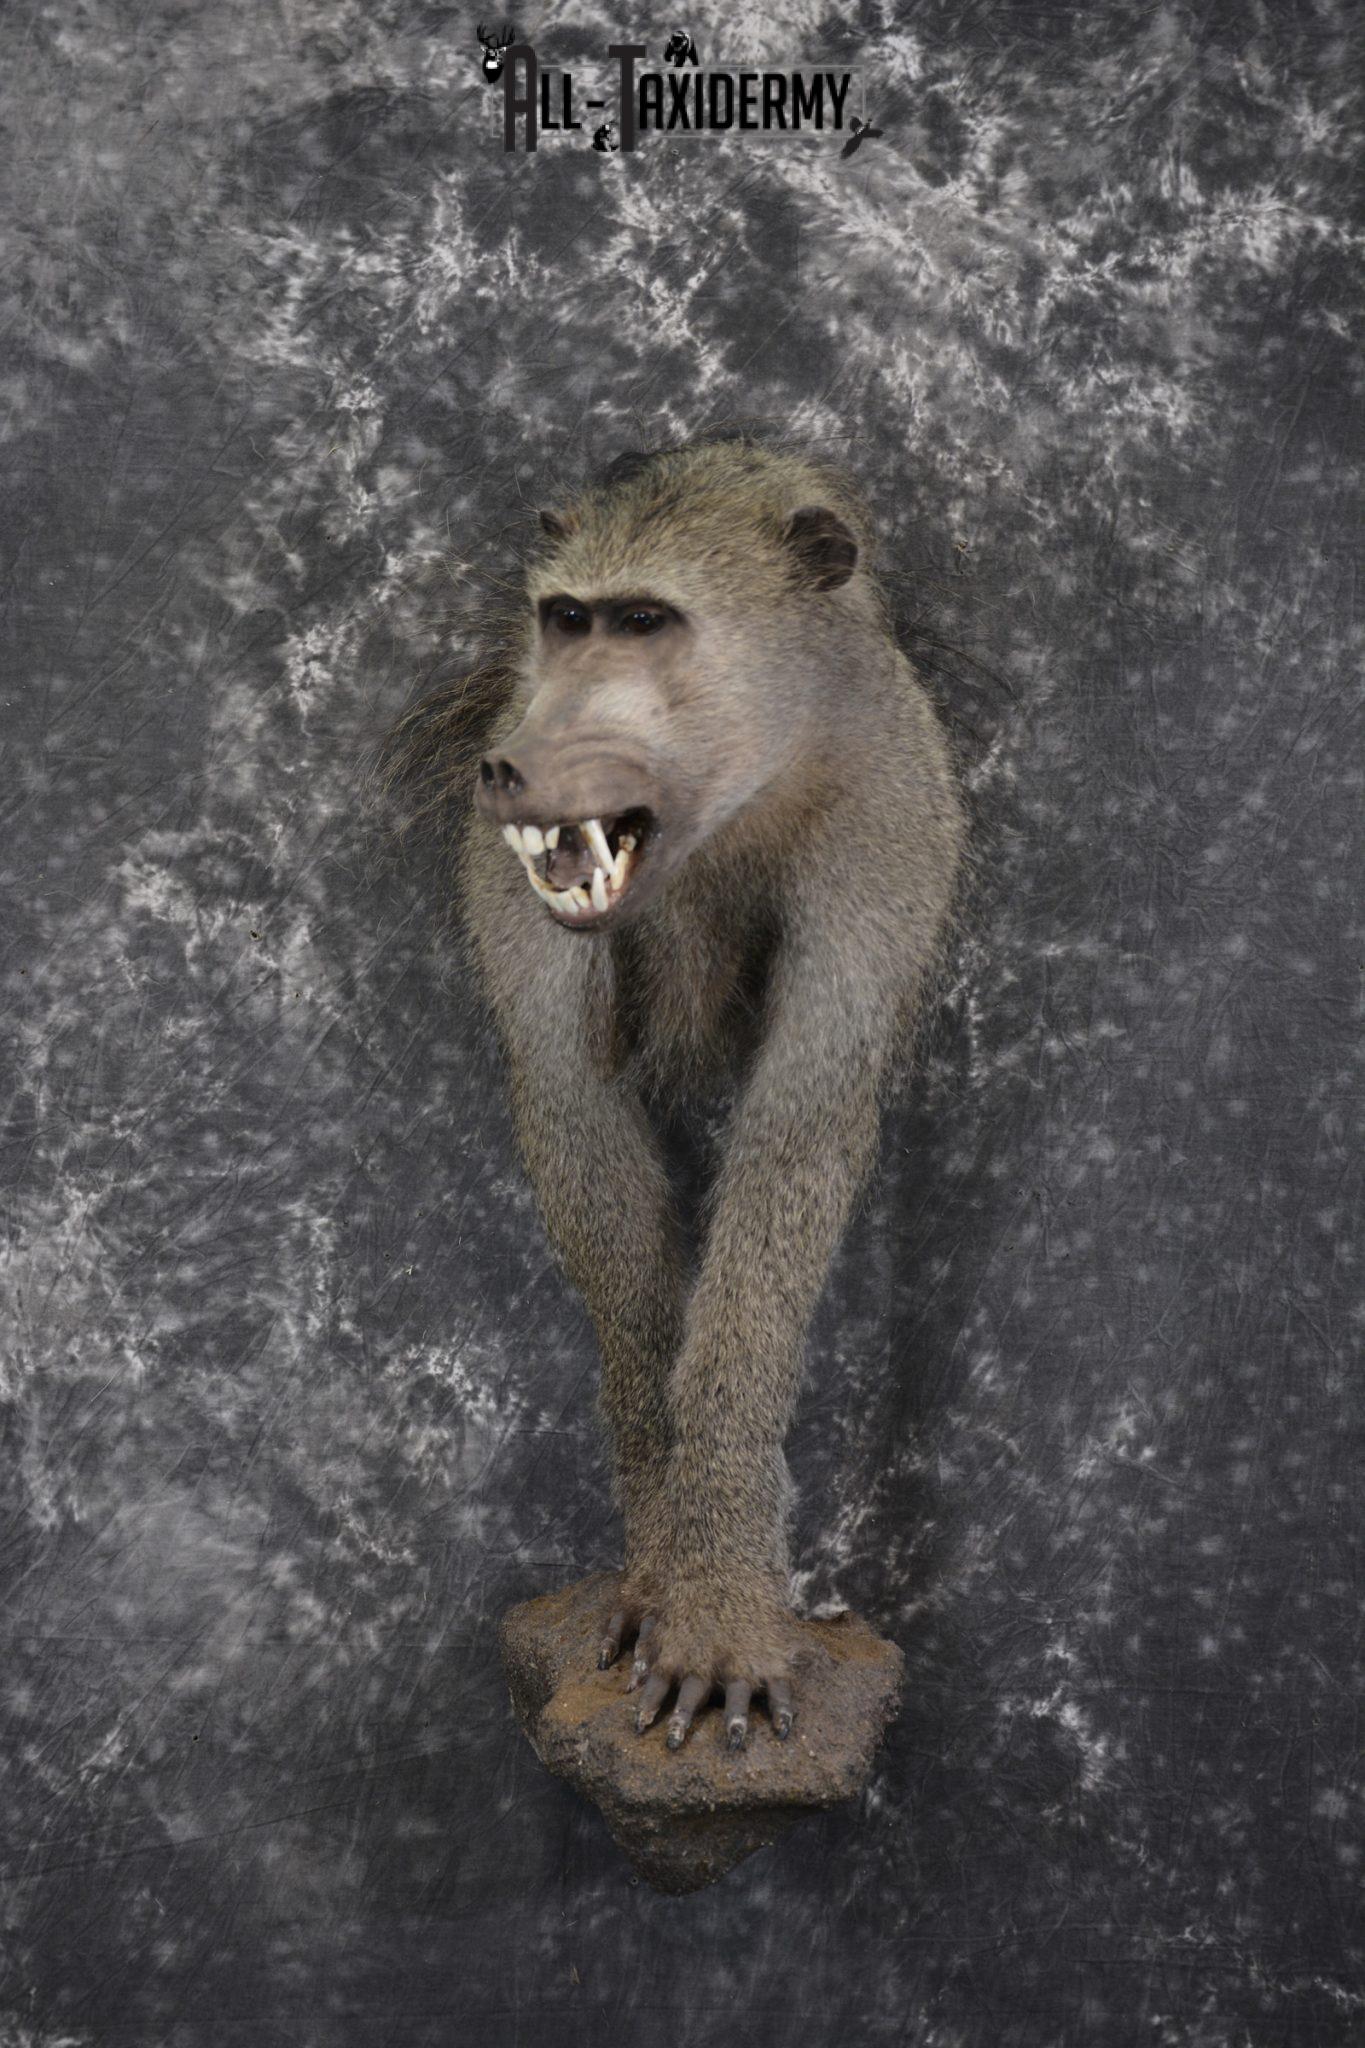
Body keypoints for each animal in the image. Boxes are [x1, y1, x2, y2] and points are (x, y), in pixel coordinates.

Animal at [382, 437, 967, 1754]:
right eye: (568, 619)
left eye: (645, 622)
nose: (516, 763)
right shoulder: (510, 878)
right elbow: (575, 1114)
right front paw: (664, 1576)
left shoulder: (890, 828)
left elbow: (797, 1135)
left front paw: (720, 1603)